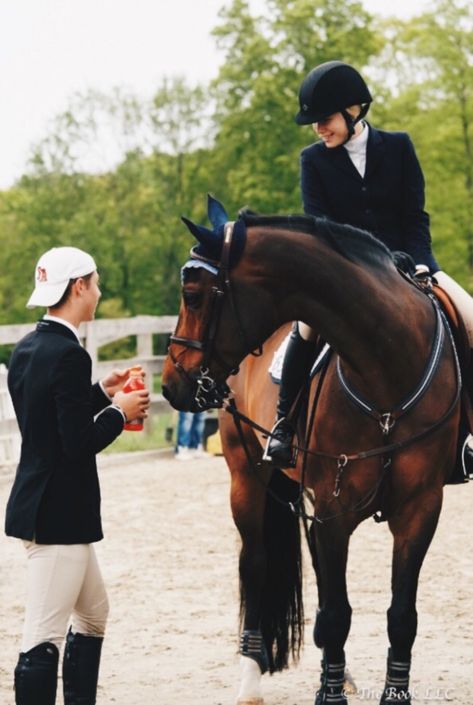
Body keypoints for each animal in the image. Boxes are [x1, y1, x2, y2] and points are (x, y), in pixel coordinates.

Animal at [162, 194, 460, 704]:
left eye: (194, 295)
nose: (171, 384)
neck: (386, 368)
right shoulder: (334, 510)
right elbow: (336, 613)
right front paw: (329, 692)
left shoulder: (420, 508)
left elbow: (400, 615)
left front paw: (383, 690)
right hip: (247, 479)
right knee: (257, 567)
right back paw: (251, 677)